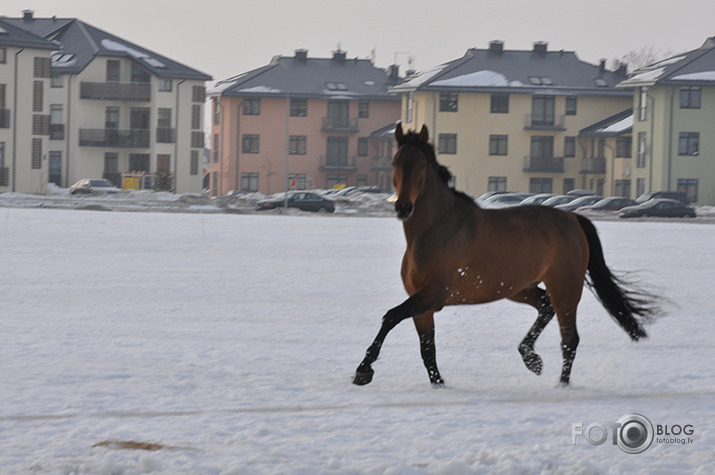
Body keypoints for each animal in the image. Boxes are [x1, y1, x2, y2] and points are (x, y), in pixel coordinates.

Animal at [352, 124, 660, 388]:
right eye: (395, 163)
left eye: (422, 164)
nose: (403, 207)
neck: (435, 228)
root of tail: (573, 218)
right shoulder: (422, 304)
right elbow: (427, 350)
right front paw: (438, 384)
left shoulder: (432, 295)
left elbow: (390, 317)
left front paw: (363, 370)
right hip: (518, 287)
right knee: (545, 308)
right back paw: (531, 358)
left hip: (565, 288)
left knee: (569, 339)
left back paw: (560, 384)